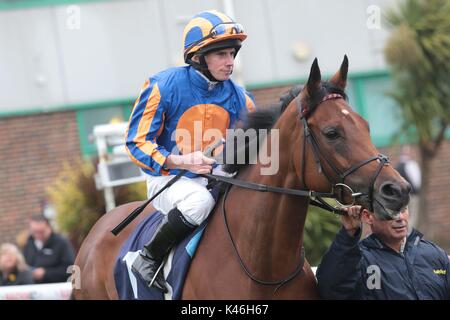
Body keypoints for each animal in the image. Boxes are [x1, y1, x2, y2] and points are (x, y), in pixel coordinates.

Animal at [72, 56, 410, 298]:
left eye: (366, 125)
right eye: (332, 133)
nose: (397, 190)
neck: (263, 268)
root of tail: (94, 233)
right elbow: (138, 140)